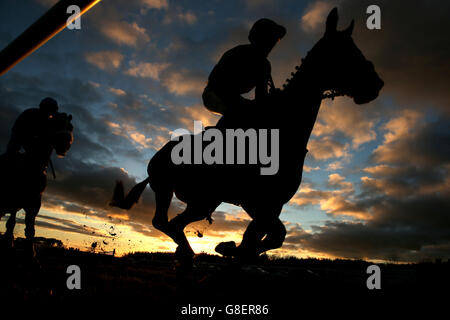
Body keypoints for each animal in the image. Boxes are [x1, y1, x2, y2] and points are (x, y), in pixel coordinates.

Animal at [0, 112, 73, 258]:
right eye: (55, 124)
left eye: (70, 127)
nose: (65, 143)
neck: (32, 165)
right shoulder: (15, 199)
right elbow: (11, 224)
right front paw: (9, 244)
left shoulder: (34, 203)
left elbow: (29, 229)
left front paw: (31, 255)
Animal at [111, 8, 384, 264]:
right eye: (345, 52)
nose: (377, 84)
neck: (283, 130)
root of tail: (155, 159)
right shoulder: (256, 203)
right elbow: (271, 235)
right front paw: (230, 248)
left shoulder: (271, 204)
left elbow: (265, 236)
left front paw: (233, 249)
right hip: (181, 193)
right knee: (166, 222)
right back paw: (188, 252)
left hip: (204, 200)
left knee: (172, 223)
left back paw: (187, 252)